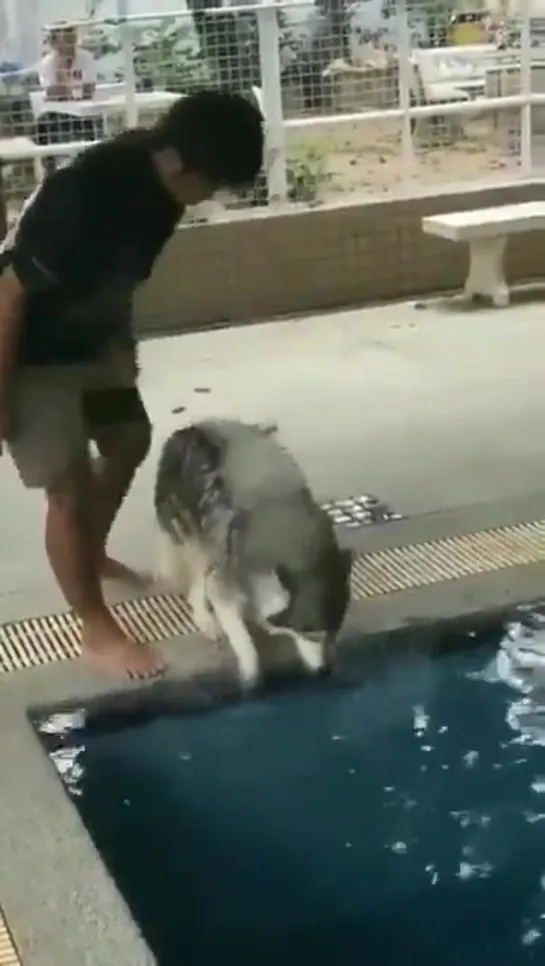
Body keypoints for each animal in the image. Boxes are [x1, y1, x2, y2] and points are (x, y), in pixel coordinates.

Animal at [152, 422, 352, 688]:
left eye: (333, 632)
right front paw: (251, 674)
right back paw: (206, 620)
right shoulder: (224, 586)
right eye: (311, 635)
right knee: (196, 586)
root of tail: (189, 428)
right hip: (199, 542)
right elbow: (245, 643)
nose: (326, 671)